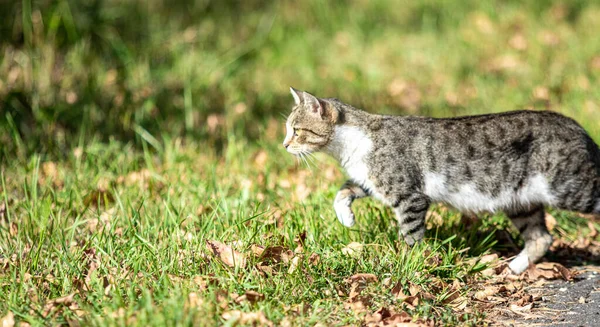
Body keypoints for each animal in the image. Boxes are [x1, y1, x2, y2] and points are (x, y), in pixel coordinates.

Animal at [282, 87, 600, 274]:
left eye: (296, 130)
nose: (284, 145)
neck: (352, 145)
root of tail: (578, 127)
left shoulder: (409, 196)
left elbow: (410, 234)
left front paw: (409, 263)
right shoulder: (371, 181)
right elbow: (343, 190)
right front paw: (346, 218)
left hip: (568, 187)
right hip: (521, 201)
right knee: (541, 238)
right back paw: (511, 269)